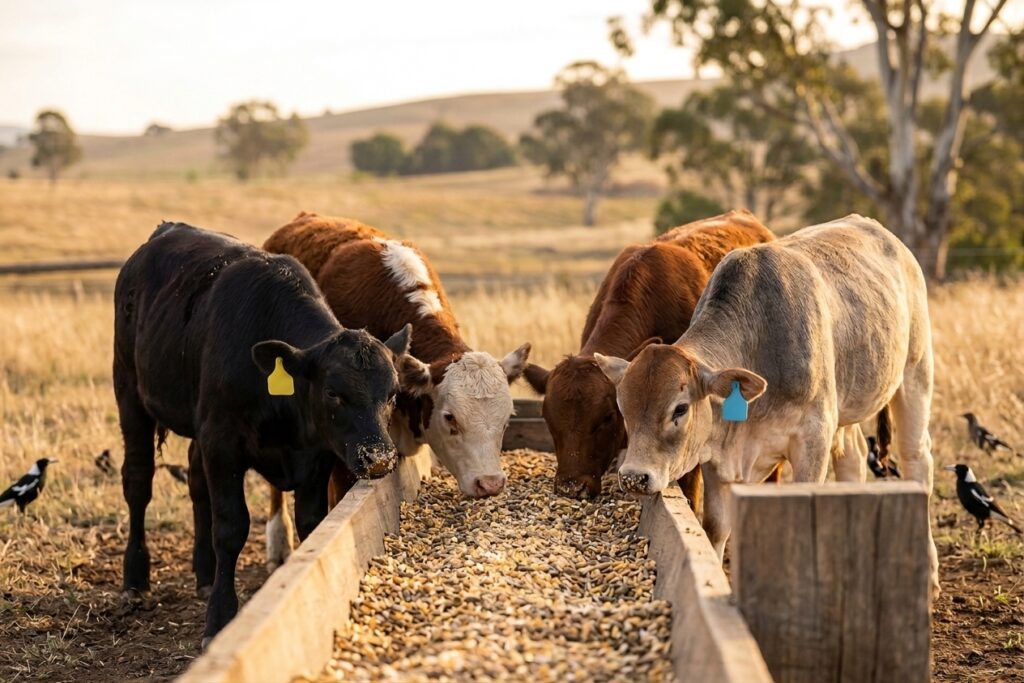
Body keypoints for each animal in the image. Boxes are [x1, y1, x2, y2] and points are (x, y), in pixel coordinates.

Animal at [113, 222, 413, 646]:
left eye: (392, 393)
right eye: (332, 393)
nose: (379, 458)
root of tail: (165, 231)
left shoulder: (315, 455)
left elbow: (311, 522)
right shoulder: (222, 443)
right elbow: (231, 527)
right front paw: (219, 618)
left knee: (196, 483)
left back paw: (204, 574)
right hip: (129, 390)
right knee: (138, 481)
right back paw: (135, 580)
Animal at [594, 215, 940, 595]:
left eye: (680, 409)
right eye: (623, 409)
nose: (633, 477)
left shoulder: (813, 439)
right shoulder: (717, 457)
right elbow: (717, 527)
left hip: (914, 373)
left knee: (917, 458)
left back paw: (930, 573)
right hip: (847, 408)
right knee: (853, 457)